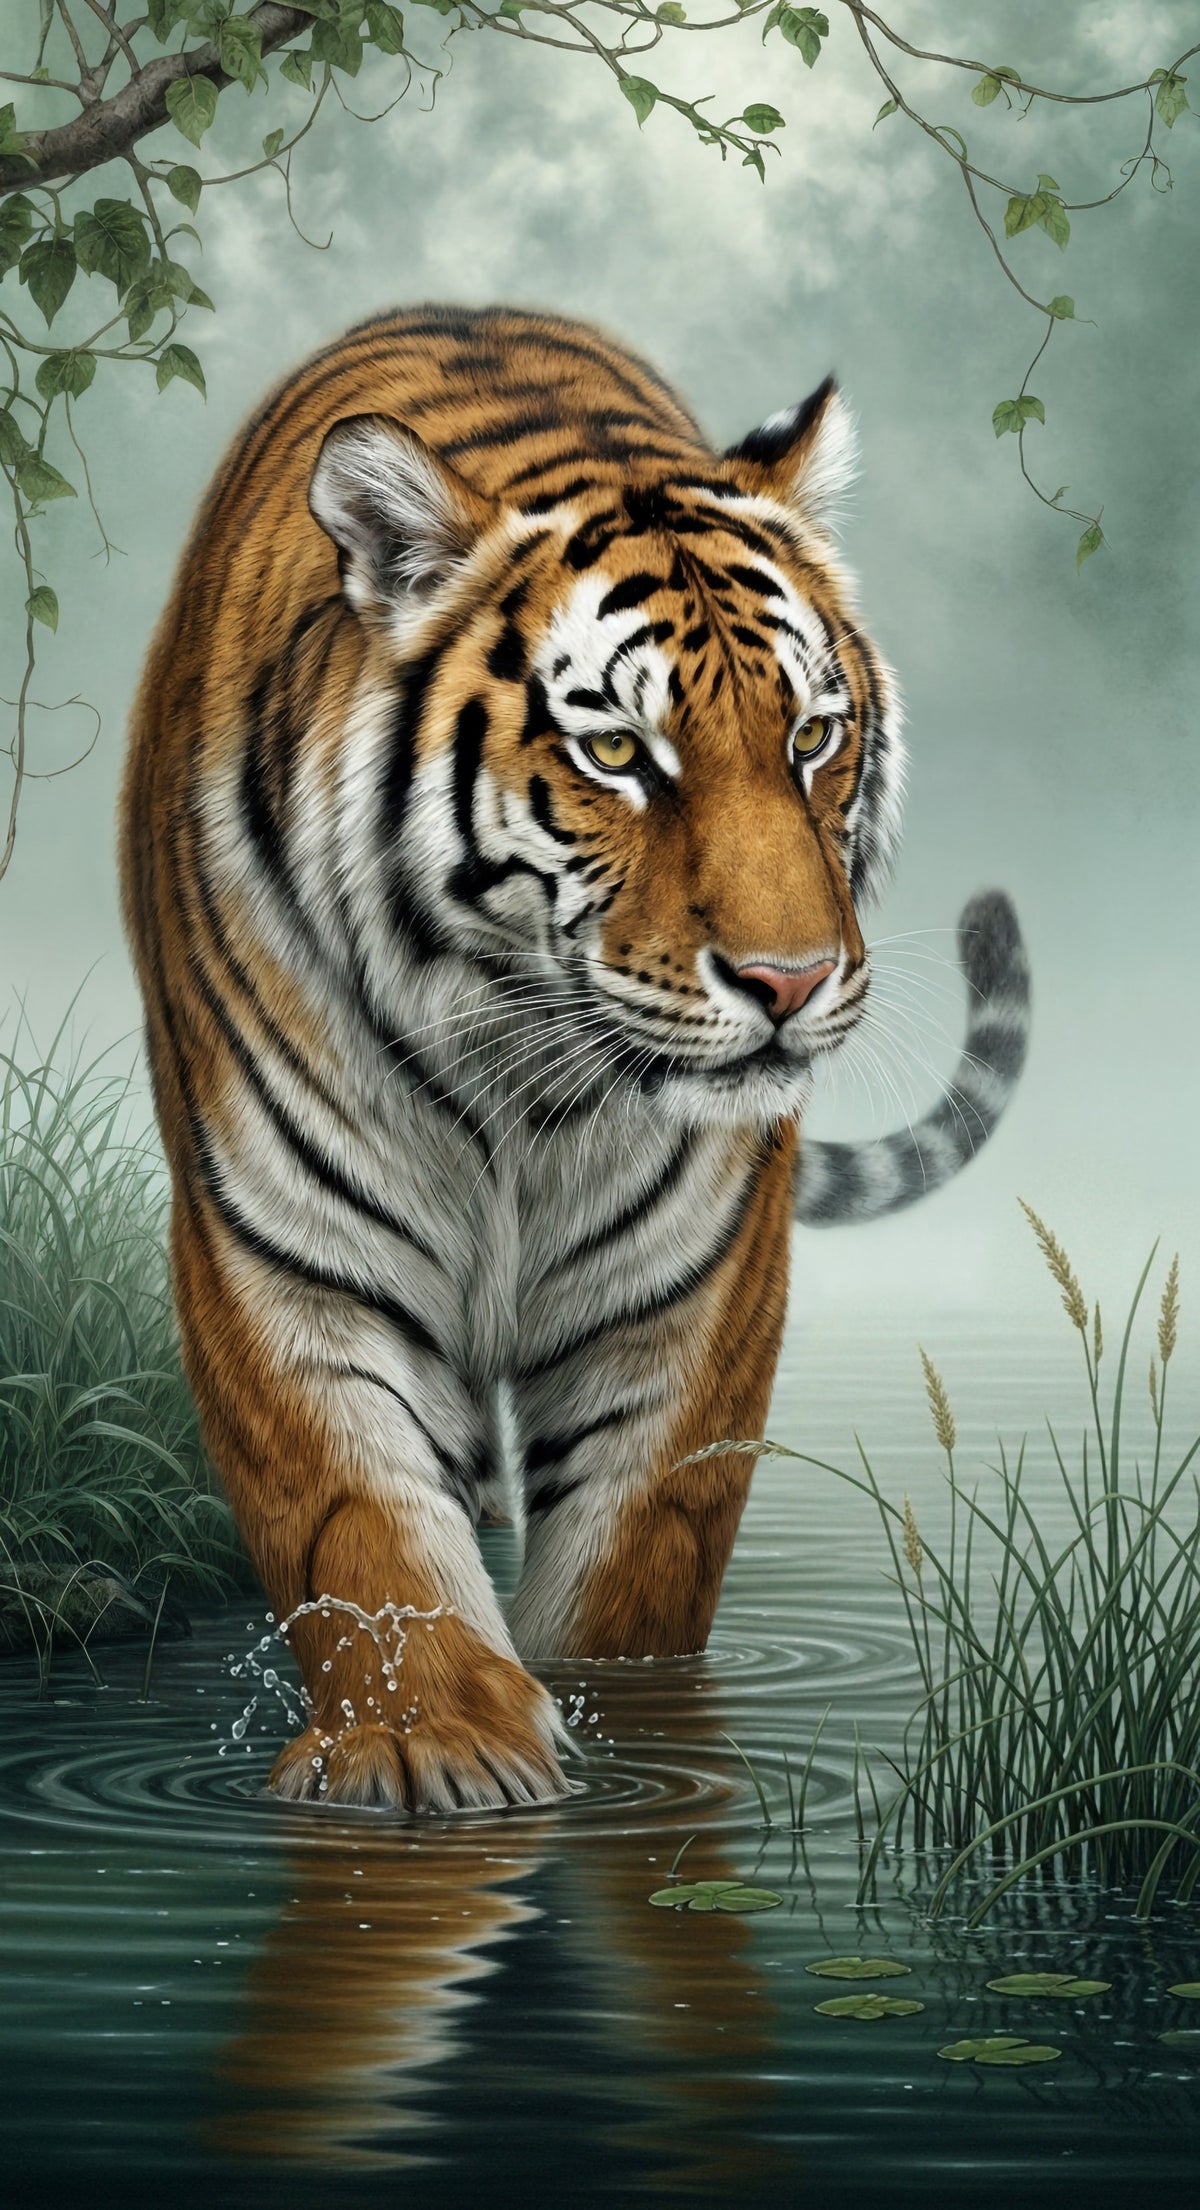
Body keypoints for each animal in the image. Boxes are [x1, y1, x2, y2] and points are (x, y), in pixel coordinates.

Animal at [120, 304, 1030, 1814]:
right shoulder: (284, 1247)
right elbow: (358, 1516)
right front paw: (430, 1742)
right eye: (615, 749)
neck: (517, 1063)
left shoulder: (687, 1291)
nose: (791, 982)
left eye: (812, 736)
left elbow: (634, 1563)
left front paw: (630, 1741)